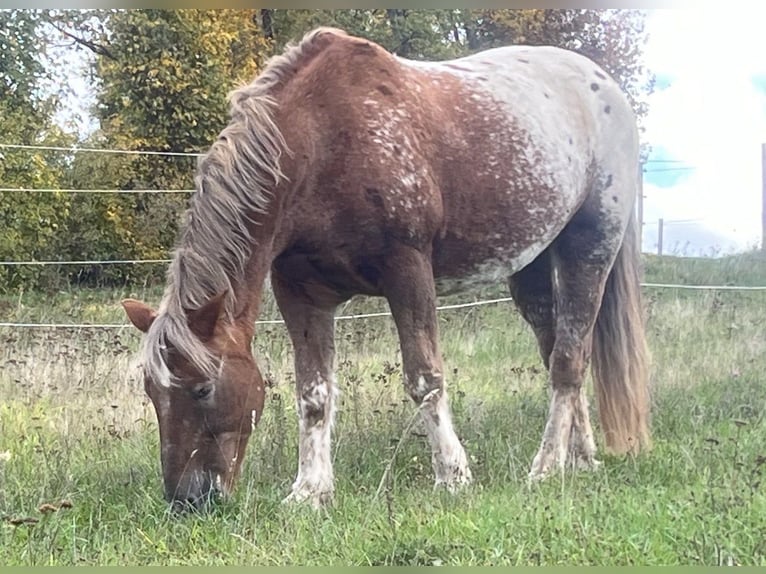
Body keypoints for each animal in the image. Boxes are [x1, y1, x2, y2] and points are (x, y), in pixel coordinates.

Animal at [121, 27, 651, 511]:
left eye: (202, 389)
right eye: (151, 392)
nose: (187, 500)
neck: (322, 141)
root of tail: (604, 85)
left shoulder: (408, 270)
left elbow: (424, 377)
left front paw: (453, 475)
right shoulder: (300, 292)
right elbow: (313, 392)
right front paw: (310, 491)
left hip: (592, 243)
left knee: (569, 358)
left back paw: (545, 467)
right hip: (532, 261)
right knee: (560, 346)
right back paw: (580, 459)